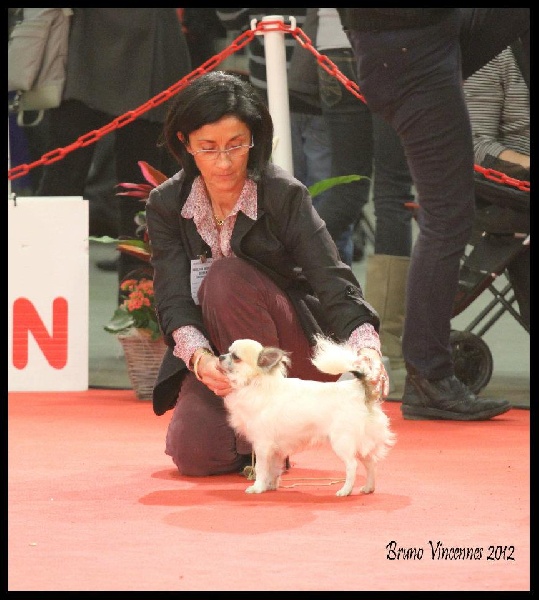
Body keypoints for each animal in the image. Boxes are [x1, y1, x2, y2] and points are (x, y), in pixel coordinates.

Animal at [218, 336, 396, 496]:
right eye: (228, 351)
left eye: (235, 357)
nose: (220, 357)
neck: (256, 384)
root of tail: (358, 390)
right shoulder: (275, 449)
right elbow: (274, 468)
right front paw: (270, 485)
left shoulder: (263, 445)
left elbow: (261, 468)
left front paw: (258, 487)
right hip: (361, 443)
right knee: (371, 463)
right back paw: (369, 487)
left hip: (342, 441)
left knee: (352, 465)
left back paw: (345, 490)